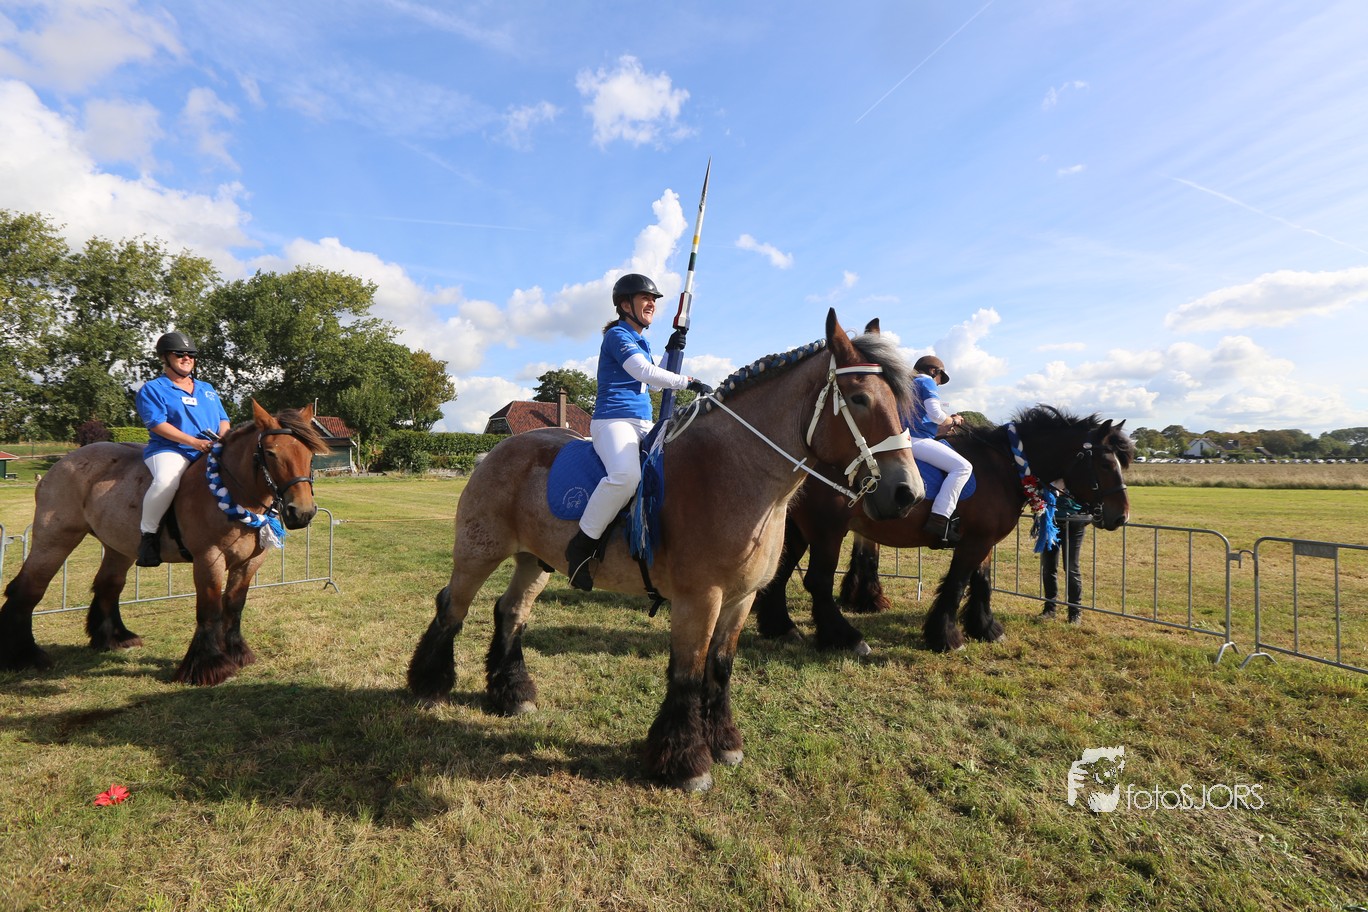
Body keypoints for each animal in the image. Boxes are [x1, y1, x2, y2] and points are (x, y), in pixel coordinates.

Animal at [0, 401, 328, 685]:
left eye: (310, 454)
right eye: (271, 453)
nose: (302, 512)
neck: (232, 490)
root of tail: (59, 466)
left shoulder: (250, 562)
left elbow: (234, 605)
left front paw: (238, 653)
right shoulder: (209, 559)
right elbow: (209, 608)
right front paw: (209, 666)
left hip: (118, 547)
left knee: (108, 585)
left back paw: (113, 637)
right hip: (54, 540)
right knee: (29, 588)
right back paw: (24, 656)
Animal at [407, 310, 925, 792]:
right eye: (859, 398)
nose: (908, 494)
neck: (736, 473)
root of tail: (495, 450)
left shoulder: (740, 599)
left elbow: (720, 668)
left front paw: (725, 743)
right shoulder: (699, 599)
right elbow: (688, 674)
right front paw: (686, 762)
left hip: (536, 562)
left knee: (510, 612)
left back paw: (512, 694)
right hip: (478, 553)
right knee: (452, 607)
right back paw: (429, 684)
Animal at [753, 405, 1134, 654]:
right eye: (1105, 463)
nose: (1121, 517)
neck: (1006, 464)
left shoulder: (984, 541)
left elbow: (982, 583)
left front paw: (985, 628)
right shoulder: (973, 543)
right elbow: (956, 585)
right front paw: (946, 638)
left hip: (798, 530)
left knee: (779, 573)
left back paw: (781, 628)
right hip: (827, 531)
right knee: (816, 581)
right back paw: (845, 639)